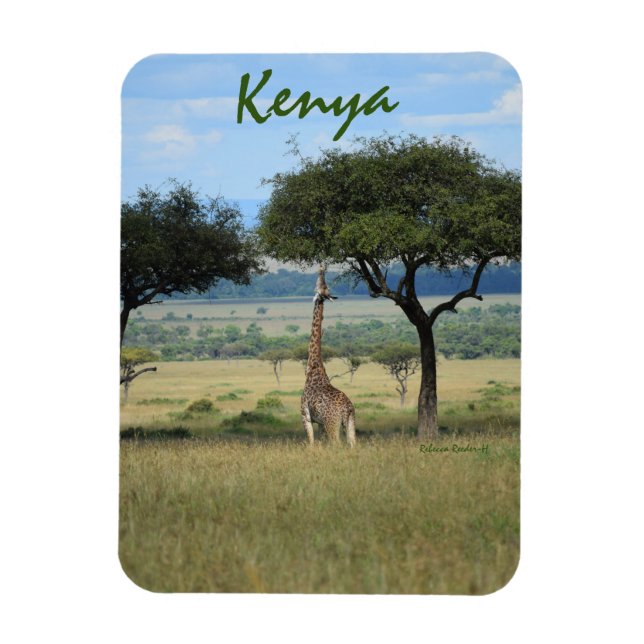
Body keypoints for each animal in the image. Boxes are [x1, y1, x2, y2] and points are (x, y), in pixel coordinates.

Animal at [301, 269, 356, 447]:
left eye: (320, 285)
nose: (320, 270)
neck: (312, 368)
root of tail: (347, 407)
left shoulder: (305, 416)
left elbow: (311, 444)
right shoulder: (319, 423)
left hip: (332, 423)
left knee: (337, 444)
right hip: (350, 422)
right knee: (353, 444)